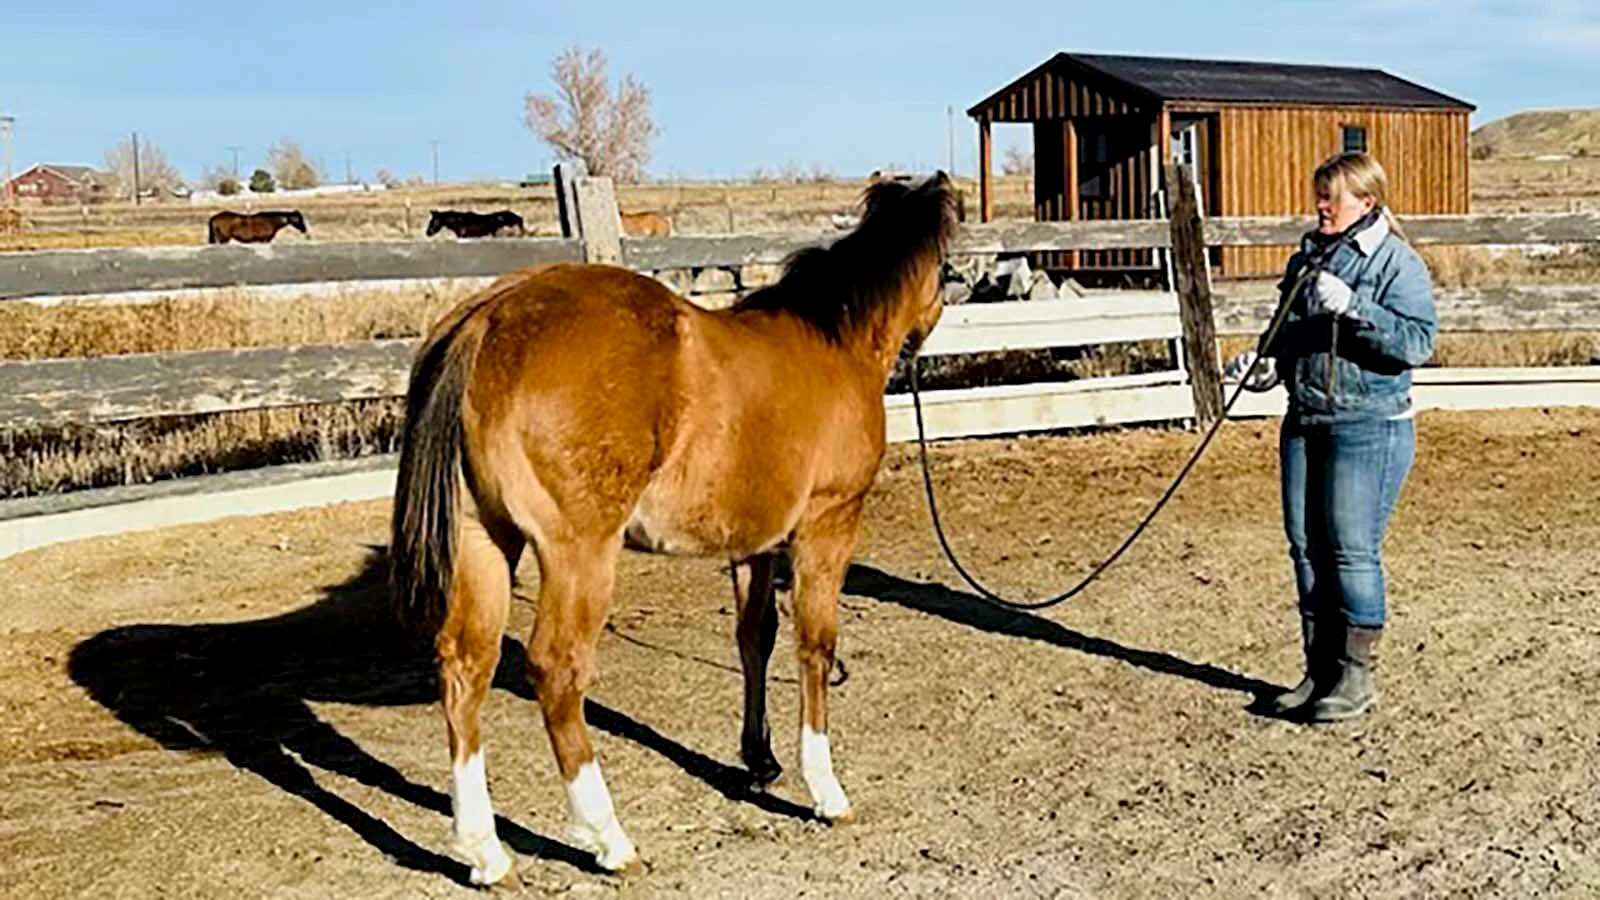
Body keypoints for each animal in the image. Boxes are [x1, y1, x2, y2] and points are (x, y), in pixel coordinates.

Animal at [389, 172, 960, 884]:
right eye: (947, 265)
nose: (924, 336)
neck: (835, 341)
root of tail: (486, 320)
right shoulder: (827, 524)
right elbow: (815, 646)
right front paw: (825, 789)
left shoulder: (752, 546)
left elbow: (755, 640)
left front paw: (760, 760)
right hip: (578, 554)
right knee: (556, 669)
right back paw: (608, 838)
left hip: (485, 539)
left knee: (466, 667)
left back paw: (484, 851)